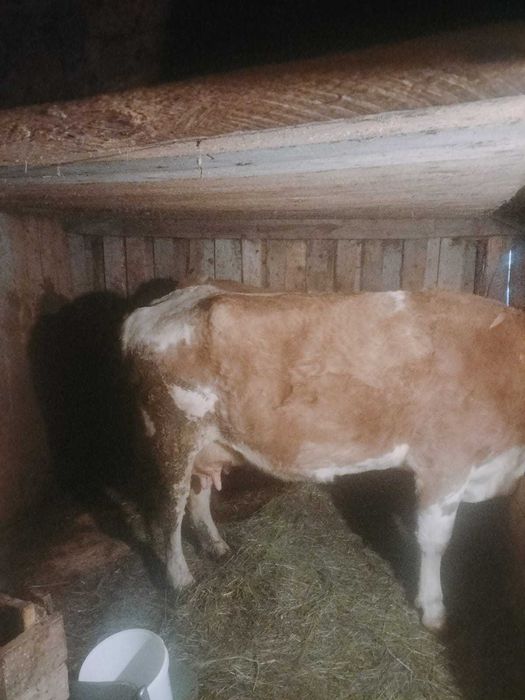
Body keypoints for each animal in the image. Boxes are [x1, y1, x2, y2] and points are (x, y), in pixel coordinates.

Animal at [121, 282, 525, 630]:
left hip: (206, 442)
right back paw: (181, 579)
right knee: (169, 511)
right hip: (174, 432)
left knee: (198, 493)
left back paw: (217, 547)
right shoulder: (444, 462)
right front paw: (434, 609)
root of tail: (160, 306)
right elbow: (434, 541)